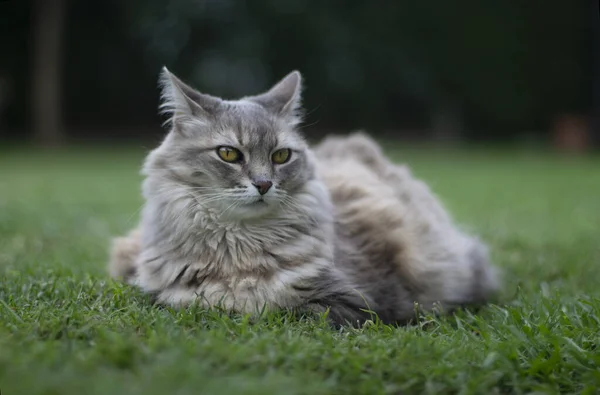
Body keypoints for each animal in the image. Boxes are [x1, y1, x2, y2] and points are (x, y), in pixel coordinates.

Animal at [109, 68, 502, 328]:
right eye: (229, 154)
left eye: (281, 156)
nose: (263, 184)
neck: (238, 246)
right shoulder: (158, 291)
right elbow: (183, 301)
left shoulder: (353, 302)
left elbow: (285, 312)